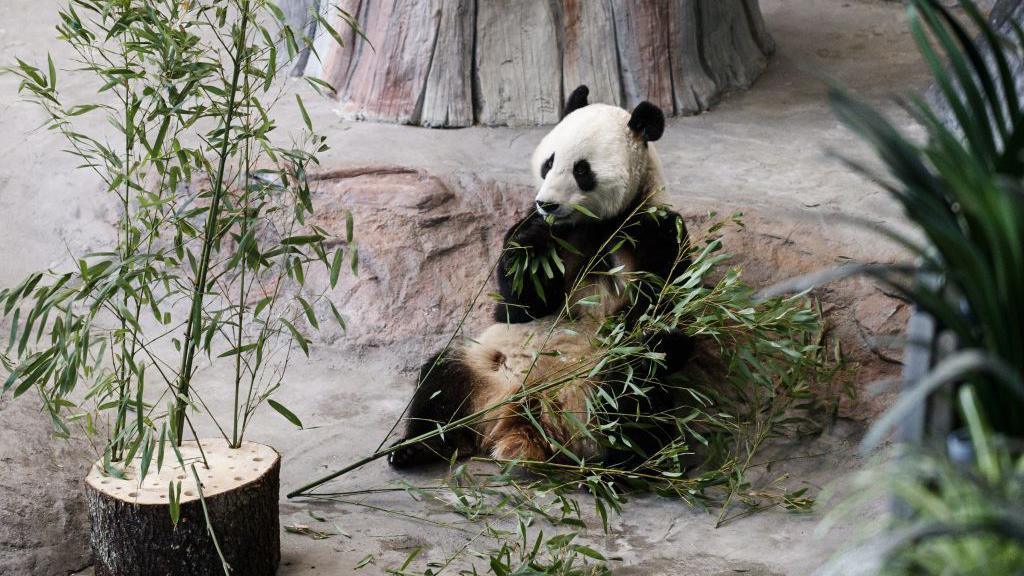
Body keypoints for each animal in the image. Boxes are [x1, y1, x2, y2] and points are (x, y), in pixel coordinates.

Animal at [387, 85, 692, 469]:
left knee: (632, 397)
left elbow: (665, 306)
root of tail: (522, 420)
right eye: (548, 162)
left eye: (582, 170)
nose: (546, 204)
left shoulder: (655, 229)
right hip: (482, 366)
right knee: (439, 380)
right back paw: (418, 446)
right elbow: (516, 306)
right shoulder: (555, 236)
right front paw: (531, 240)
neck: (595, 225)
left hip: (593, 392)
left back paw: (633, 465)